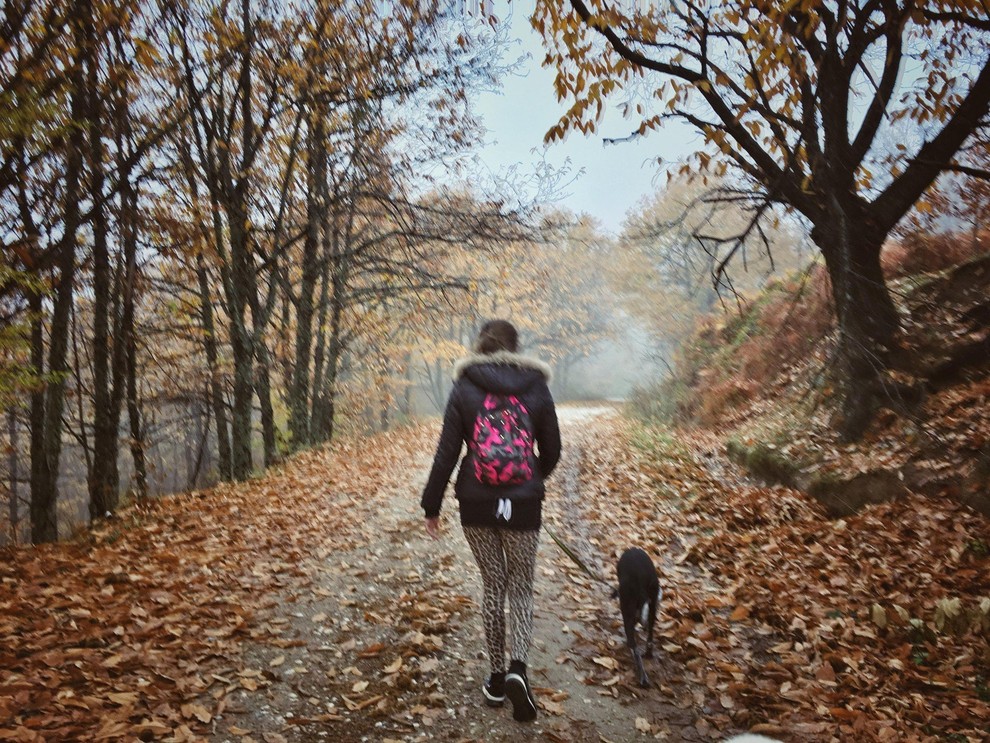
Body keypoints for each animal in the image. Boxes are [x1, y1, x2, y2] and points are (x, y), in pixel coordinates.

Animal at [616, 548, 664, 684]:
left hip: (627, 610)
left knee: (633, 645)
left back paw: (642, 677)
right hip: (652, 606)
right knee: (650, 638)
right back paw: (648, 655)